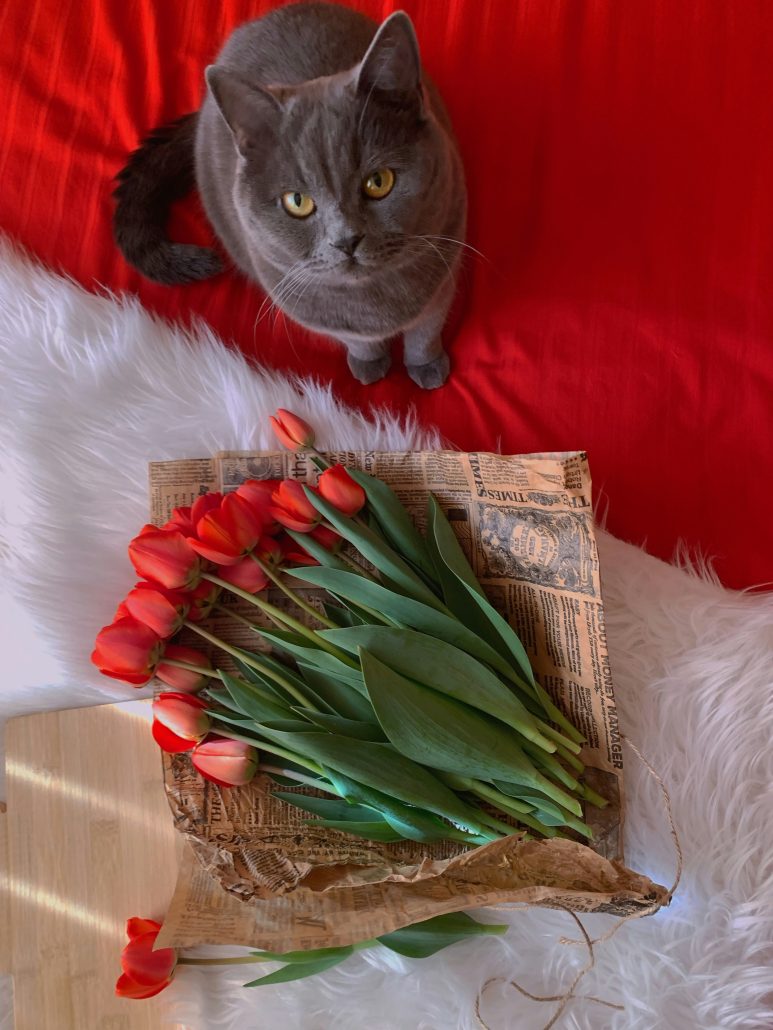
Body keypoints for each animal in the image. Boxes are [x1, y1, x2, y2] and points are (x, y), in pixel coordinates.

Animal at [114, 3, 465, 389]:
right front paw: (370, 362)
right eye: (298, 202)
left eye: (379, 181)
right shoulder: (309, 308)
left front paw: (427, 367)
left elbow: (425, 332)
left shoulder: (445, 273)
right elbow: (358, 340)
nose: (346, 240)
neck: (376, 304)